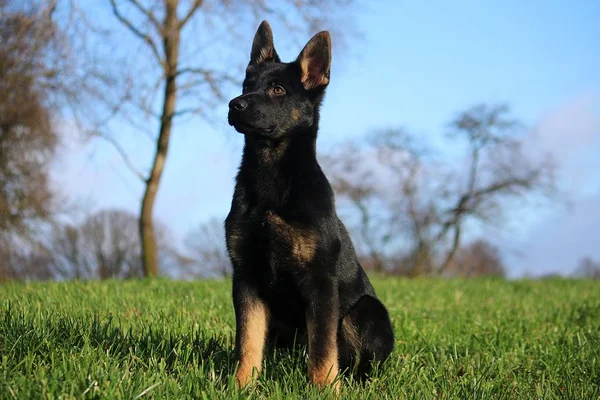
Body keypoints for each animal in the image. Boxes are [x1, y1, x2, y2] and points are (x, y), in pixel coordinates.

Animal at [225, 20, 394, 390]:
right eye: (246, 85)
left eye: (277, 90)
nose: (233, 104)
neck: (271, 178)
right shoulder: (246, 277)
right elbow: (248, 341)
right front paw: (242, 385)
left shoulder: (320, 283)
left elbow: (321, 347)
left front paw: (324, 389)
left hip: (364, 312)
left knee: (361, 363)